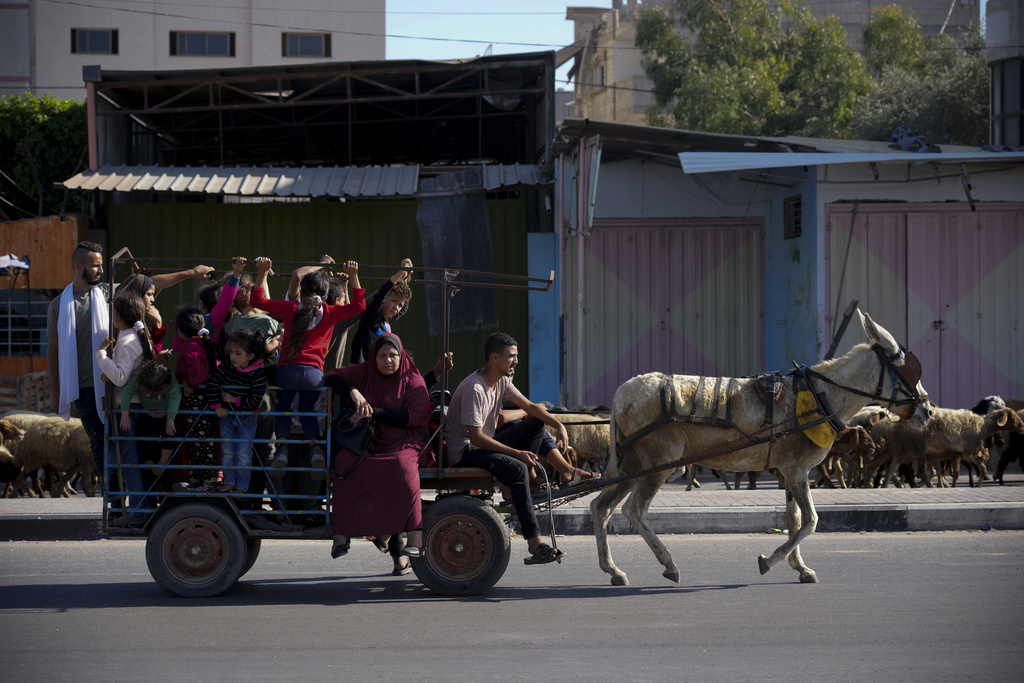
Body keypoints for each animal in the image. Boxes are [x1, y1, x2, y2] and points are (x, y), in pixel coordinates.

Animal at [872, 409, 1024, 489]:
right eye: (1012, 416)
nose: (1022, 427)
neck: (981, 427)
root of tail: (887, 424)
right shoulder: (970, 452)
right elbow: (983, 468)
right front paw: (978, 484)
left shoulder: (956, 453)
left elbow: (955, 472)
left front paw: (953, 485)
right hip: (916, 450)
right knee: (917, 471)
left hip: (903, 451)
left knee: (890, 468)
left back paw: (886, 485)